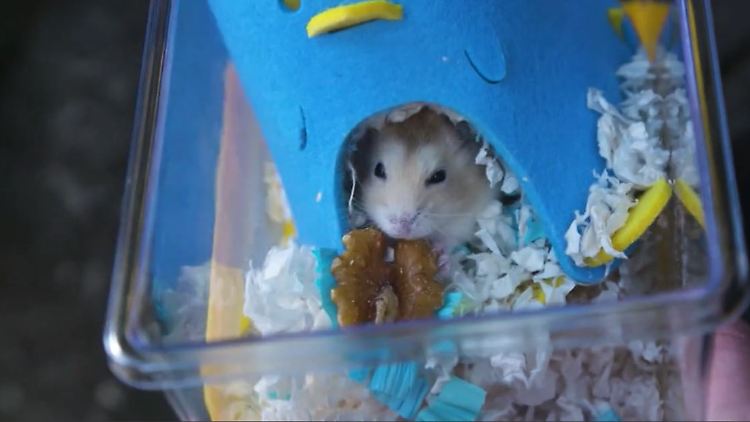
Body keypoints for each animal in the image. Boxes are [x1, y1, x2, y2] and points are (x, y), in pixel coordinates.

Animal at [353, 107, 494, 253]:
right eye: (378, 170)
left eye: (439, 176)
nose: (402, 227)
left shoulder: (466, 217)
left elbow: (450, 240)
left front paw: (440, 255)